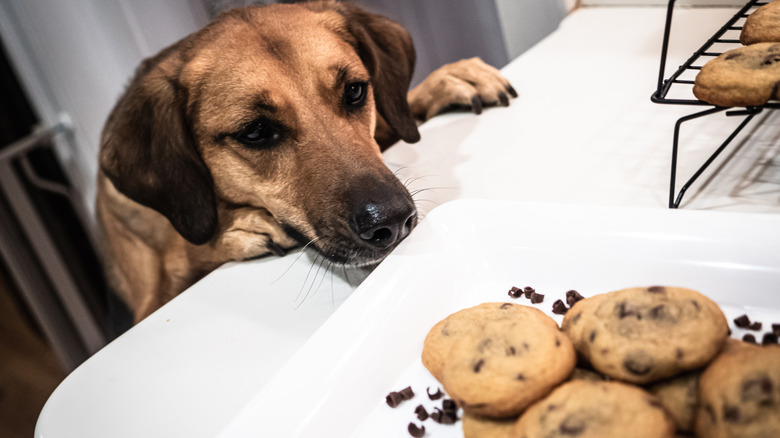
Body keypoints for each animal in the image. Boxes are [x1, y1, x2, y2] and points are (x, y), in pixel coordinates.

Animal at [94, 0, 516, 322]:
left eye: (355, 91)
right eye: (256, 131)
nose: (393, 222)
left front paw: (445, 80)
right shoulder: (151, 297)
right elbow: (183, 252)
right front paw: (235, 229)